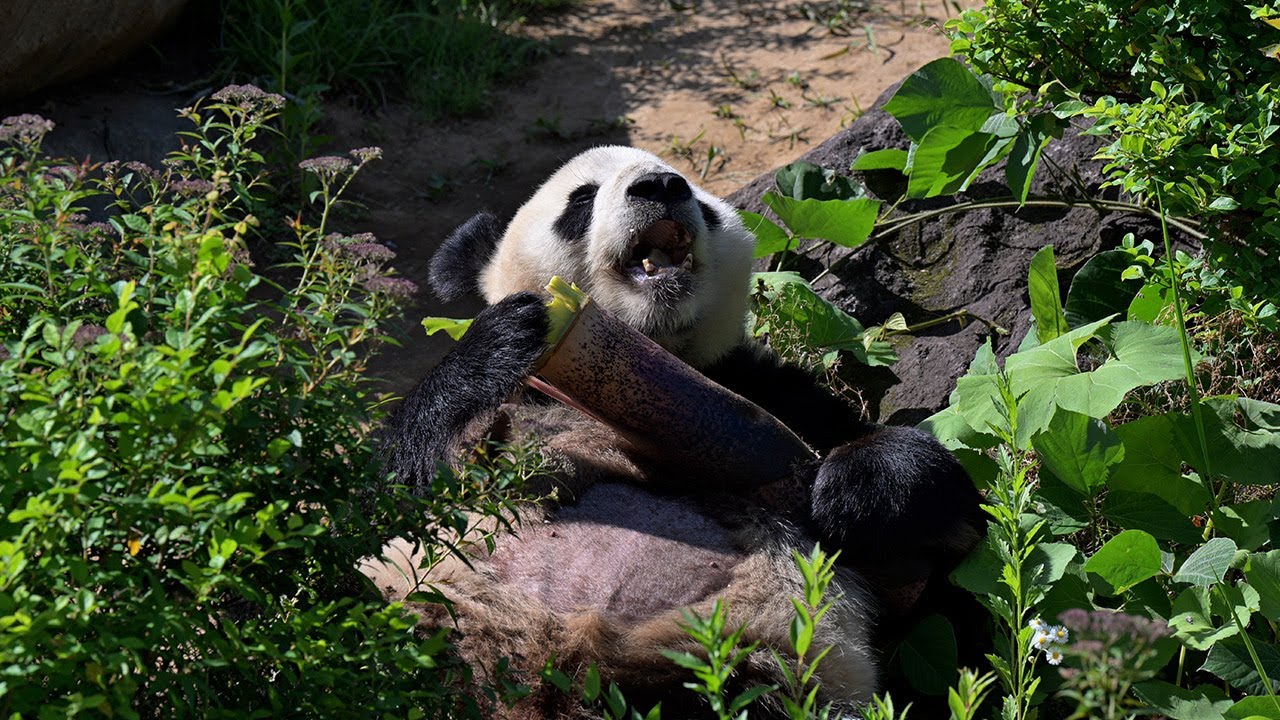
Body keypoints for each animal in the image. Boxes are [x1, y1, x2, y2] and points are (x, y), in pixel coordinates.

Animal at [363, 146, 985, 718]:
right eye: (581, 200)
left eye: (699, 198)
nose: (661, 185)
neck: (645, 348)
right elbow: (390, 490)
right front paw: (500, 340)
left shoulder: (756, 389)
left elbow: (949, 551)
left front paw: (859, 486)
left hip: (749, 662)